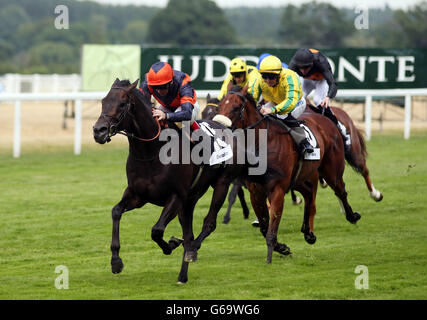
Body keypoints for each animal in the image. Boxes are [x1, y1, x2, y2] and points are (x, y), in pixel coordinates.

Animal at [214, 84, 362, 262]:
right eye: (219, 106)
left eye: (236, 108)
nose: (219, 129)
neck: (262, 143)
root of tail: (325, 118)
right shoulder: (256, 191)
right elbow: (264, 227)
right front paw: (282, 247)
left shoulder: (277, 189)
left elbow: (271, 228)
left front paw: (274, 253)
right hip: (298, 177)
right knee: (309, 193)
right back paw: (308, 232)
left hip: (331, 171)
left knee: (340, 191)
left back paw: (352, 216)